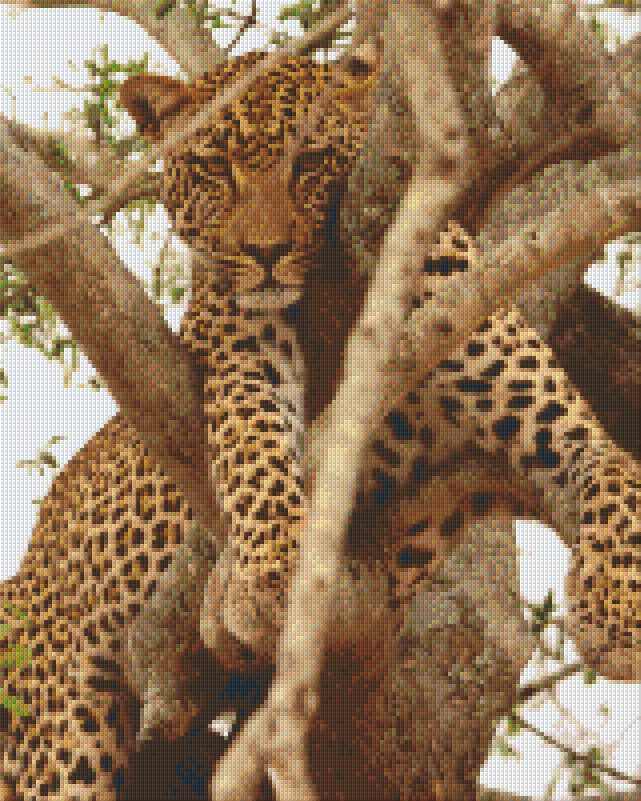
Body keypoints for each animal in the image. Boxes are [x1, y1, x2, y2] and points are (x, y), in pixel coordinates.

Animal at [0, 44, 639, 801]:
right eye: (215, 167)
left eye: (309, 161)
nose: (265, 251)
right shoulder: (242, 354)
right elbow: (255, 451)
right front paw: (278, 563)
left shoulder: (544, 416)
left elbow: (614, 470)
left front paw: (615, 611)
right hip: (62, 730)